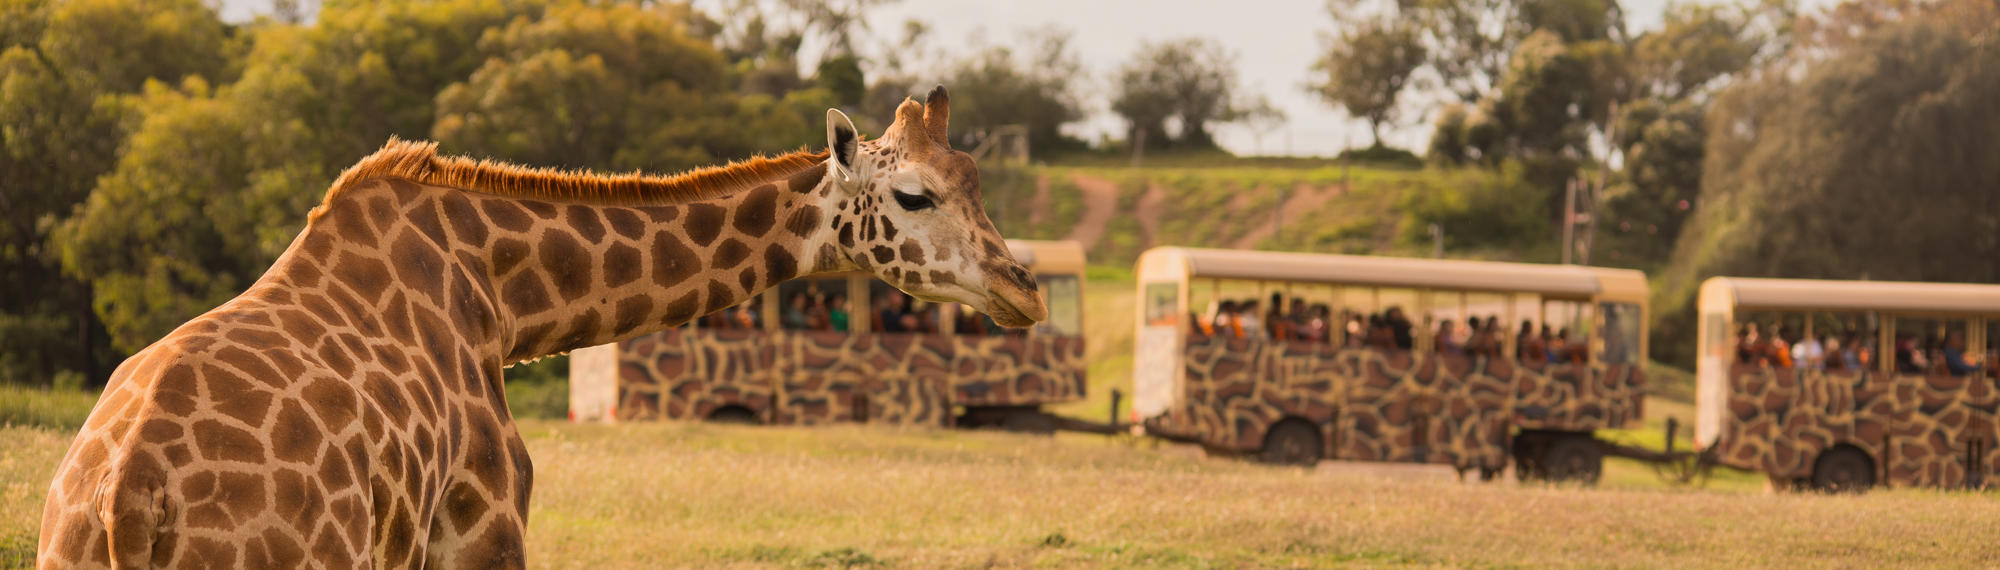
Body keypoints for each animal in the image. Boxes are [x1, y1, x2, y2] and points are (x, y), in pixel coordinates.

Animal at [35, 85, 1048, 568]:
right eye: (913, 195)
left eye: (974, 179)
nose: (1025, 290)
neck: (504, 301)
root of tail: (126, 503)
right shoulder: (484, 523)